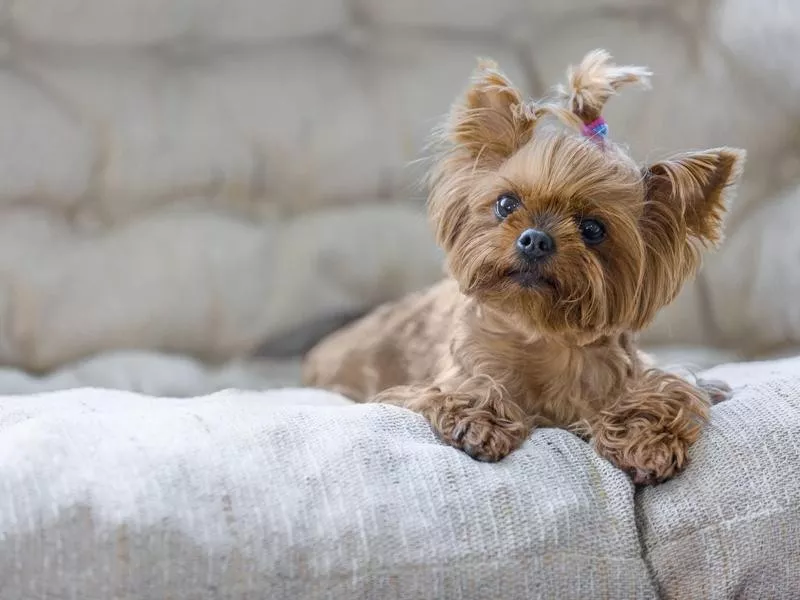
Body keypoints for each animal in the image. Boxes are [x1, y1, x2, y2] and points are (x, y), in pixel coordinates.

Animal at [304, 49, 748, 486]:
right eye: (506, 204)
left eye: (593, 229)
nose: (535, 239)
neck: (540, 335)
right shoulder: (441, 379)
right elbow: (467, 388)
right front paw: (480, 422)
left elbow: (669, 392)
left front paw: (646, 441)